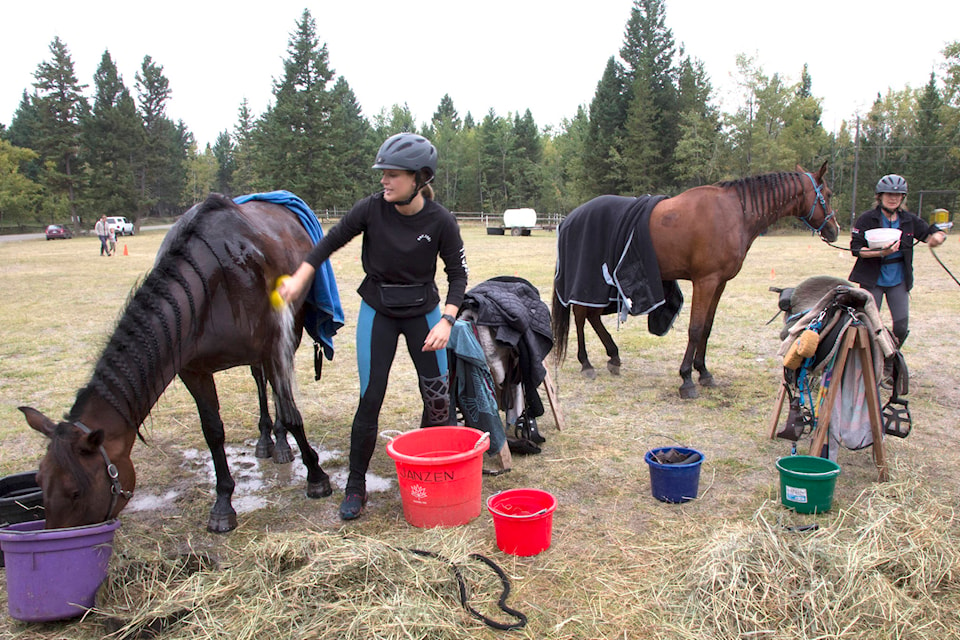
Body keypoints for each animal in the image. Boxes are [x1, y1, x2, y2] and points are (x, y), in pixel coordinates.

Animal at [18, 192, 344, 532]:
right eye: (39, 481)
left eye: (75, 491)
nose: (54, 538)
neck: (211, 283)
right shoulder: (193, 370)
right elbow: (213, 432)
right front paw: (223, 504)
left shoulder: (274, 347)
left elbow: (292, 414)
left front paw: (317, 477)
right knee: (259, 380)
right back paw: (267, 441)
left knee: (271, 387)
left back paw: (280, 444)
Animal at [556, 162, 840, 398]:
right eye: (827, 193)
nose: (834, 229)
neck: (734, 213)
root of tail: (570, 218)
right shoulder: (705, 281)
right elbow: (695, 328)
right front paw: (686, 379)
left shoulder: (720, 283)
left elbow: (706, 328)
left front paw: (703, 372)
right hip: (589, 281)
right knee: (581, 316)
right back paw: (586, 363)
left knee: (591, 317)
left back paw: (613, 357)